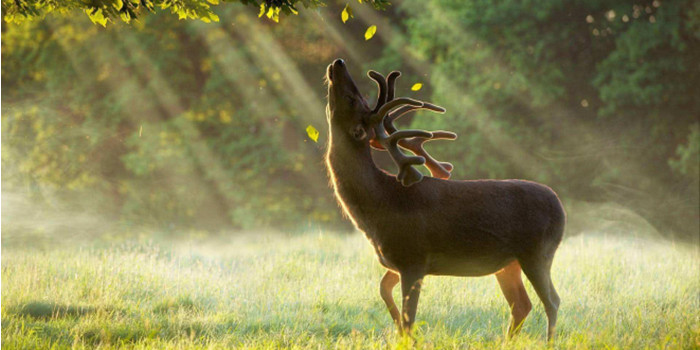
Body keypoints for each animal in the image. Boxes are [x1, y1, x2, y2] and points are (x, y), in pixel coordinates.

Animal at [326, 58, 568, 340]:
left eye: (352, 99)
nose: (338, 62)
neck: (378, 204)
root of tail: (560, 207)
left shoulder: (413, 258)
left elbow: (410, 318)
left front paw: (407, 337)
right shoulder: (397, 261)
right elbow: (383, 290)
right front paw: (397, 329)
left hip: (538, 251)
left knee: (552, 301)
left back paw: (549, 341)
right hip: (509, 263)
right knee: (521, 304)